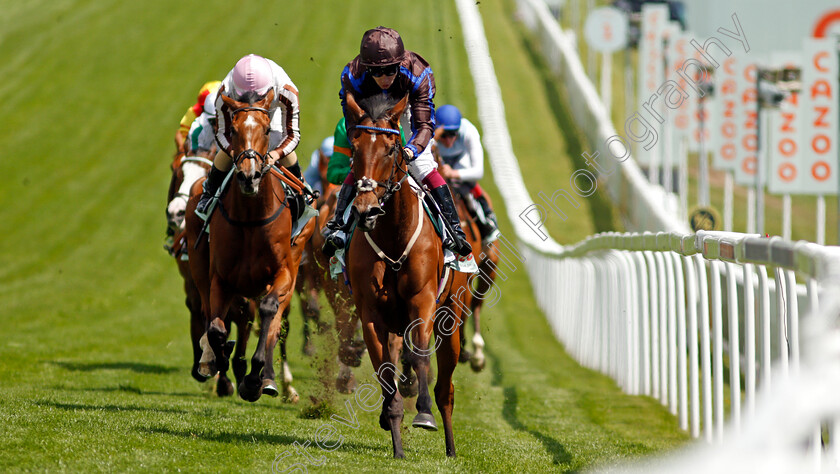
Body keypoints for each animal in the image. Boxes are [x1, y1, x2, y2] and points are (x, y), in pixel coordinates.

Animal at [185, 90, 316, 404]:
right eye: (233, 130)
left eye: (267, 130)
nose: (249, 176)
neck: (250, 218)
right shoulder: (220, 278)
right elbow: (216, 327)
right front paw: (221, 359)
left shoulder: (284, 273)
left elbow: (269, 313)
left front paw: (255, 377)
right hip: (199, 263)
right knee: (212, 312)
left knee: (275, 322)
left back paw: (269, 379)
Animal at [344, 92, 470, 460]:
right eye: (354, 147)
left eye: (390, 149)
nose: (366, 209)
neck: (392, 236)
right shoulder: (371, 314)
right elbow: (385, 371)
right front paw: (394, 432)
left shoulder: (422, 301)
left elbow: (419, 357)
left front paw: (423, 414)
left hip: (452, 320)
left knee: (446, 389)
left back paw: (450, 446)